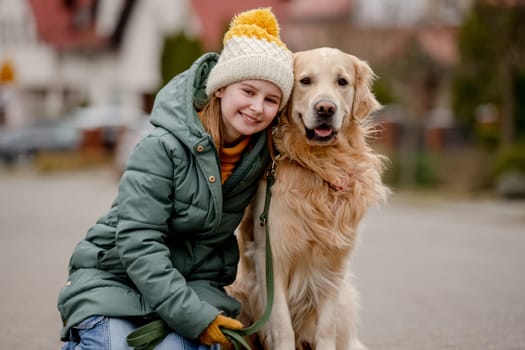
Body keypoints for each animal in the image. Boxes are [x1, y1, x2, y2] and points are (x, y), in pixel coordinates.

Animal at [227, 47, 386, 350]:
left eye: (342, 82)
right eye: (305, 81)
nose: (325, 108)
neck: (318, 166)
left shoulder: (334, 264)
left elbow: (325, 328)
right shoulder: (272, 257)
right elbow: (282, 325)